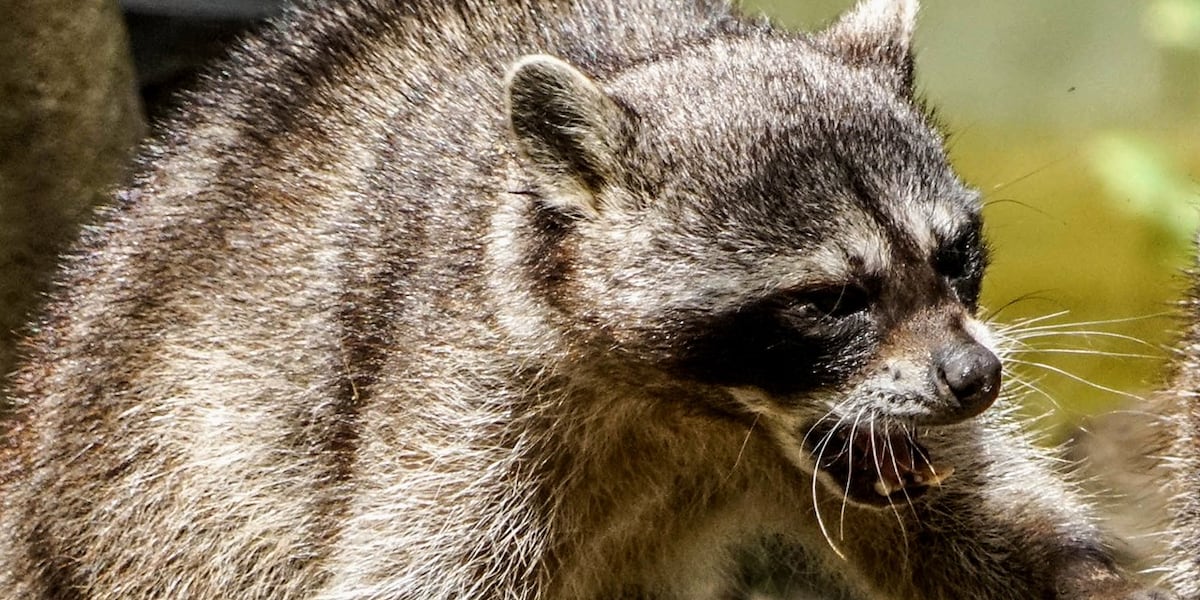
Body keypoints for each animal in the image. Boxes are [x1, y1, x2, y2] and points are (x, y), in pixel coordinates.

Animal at [0, 0, 1168, 598]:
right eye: (831, 299)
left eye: (957, 253)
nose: (978, 377)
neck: (702, 414)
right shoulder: (465, 387)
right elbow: (410, 569)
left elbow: (990, 534)